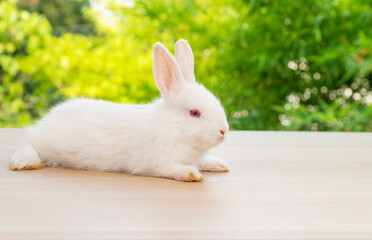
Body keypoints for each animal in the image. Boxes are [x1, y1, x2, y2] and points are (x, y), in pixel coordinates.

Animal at [8, 39, 228, 182]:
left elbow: (204, 161)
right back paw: (24, 162)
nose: (224, 131)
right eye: (194, 113)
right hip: (44, 142)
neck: (171, 128)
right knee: (28, 142)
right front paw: (192, 175)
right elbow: (171, 169)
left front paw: (218, 164)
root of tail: (44, 122)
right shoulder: (155, 162)